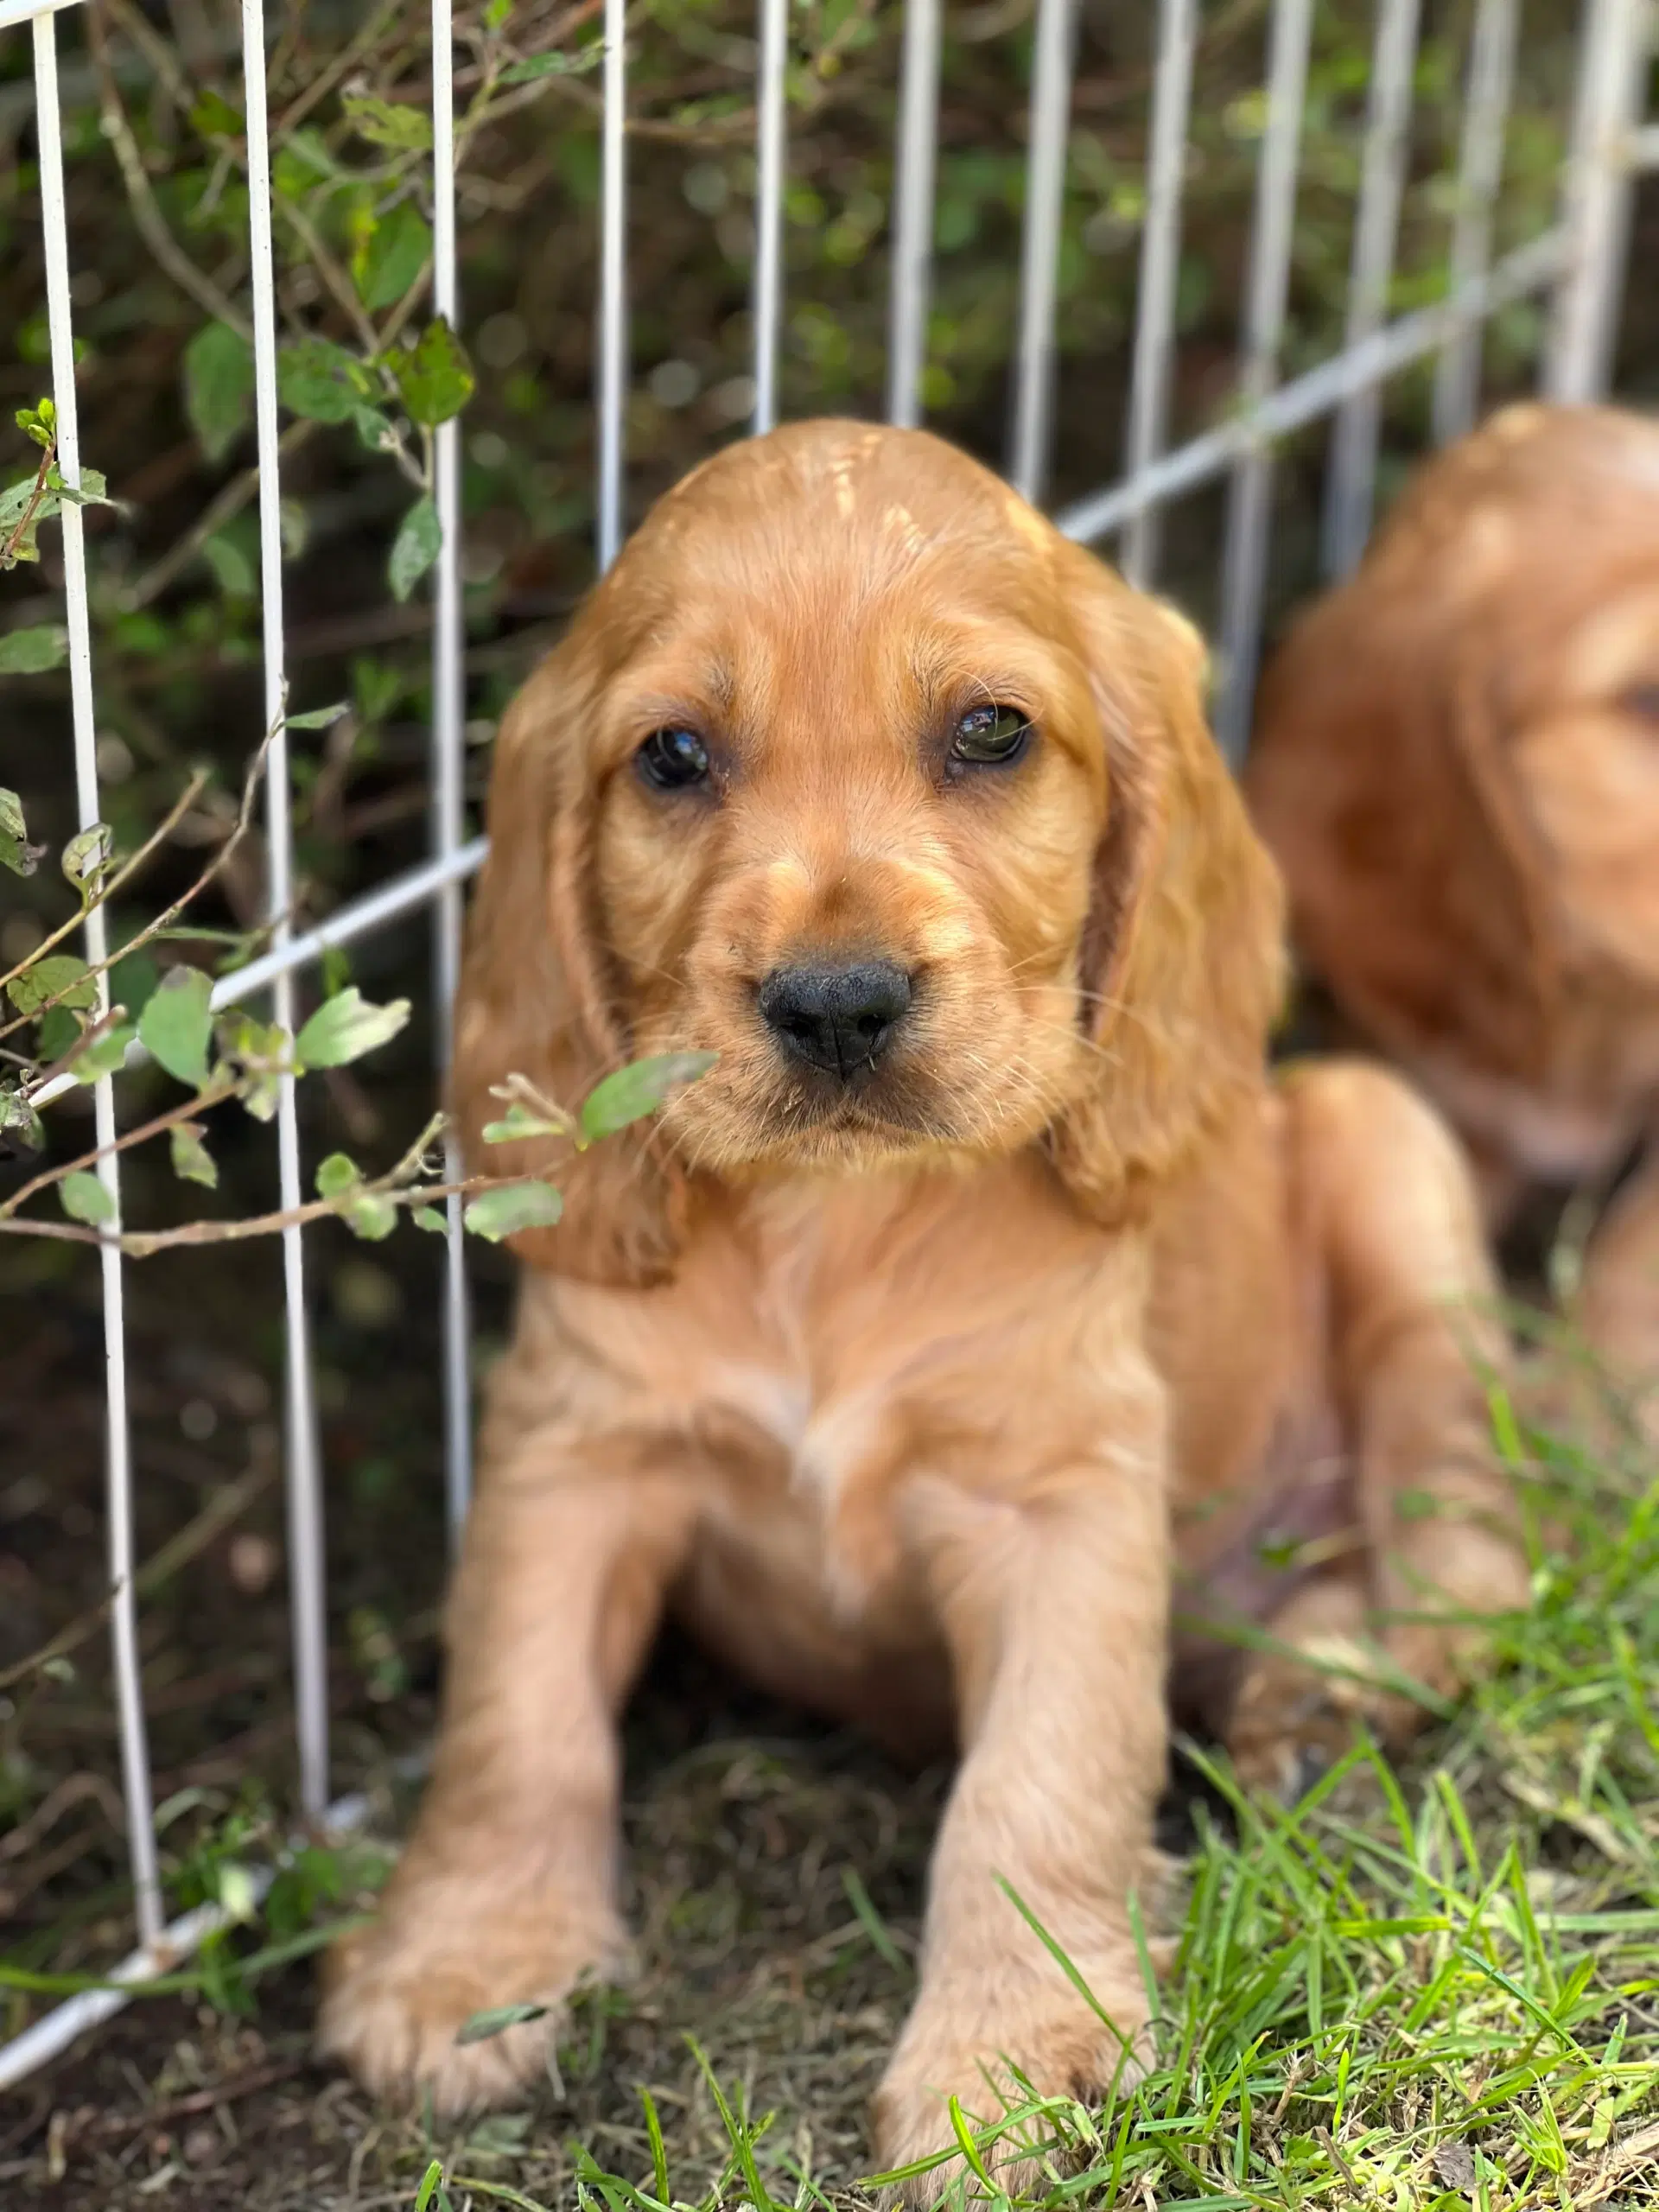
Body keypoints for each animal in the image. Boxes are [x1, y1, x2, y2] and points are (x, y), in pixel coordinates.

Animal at [318, 422, 1530, 2185]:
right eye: (673, 756)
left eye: (991, 731)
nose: (836, 1004)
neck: (835, 1230)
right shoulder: (578, 1450)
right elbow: (513, 1720)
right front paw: (469, 1964)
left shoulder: (1060, 1504)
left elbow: (1033, 1784)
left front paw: (1007, 2064)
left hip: (1381, 1141)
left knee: (1463, 1515)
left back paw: (1351, 1672)